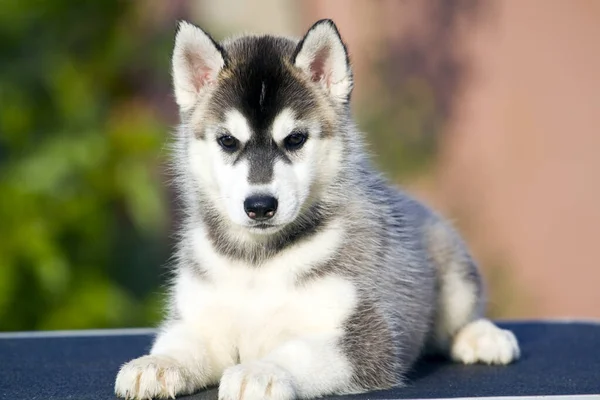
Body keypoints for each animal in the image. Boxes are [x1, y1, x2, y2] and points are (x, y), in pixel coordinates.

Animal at [115, 19, 516, 400]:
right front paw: (156, 364)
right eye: (227, 141)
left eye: (295, 139)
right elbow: (182, 344)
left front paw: (261, 371)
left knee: (460, 317)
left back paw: (483, 338)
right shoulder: (202, 322)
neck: (257, 261)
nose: (260, 206)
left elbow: (298, 353)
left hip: (454, 274)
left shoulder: (362, 337)